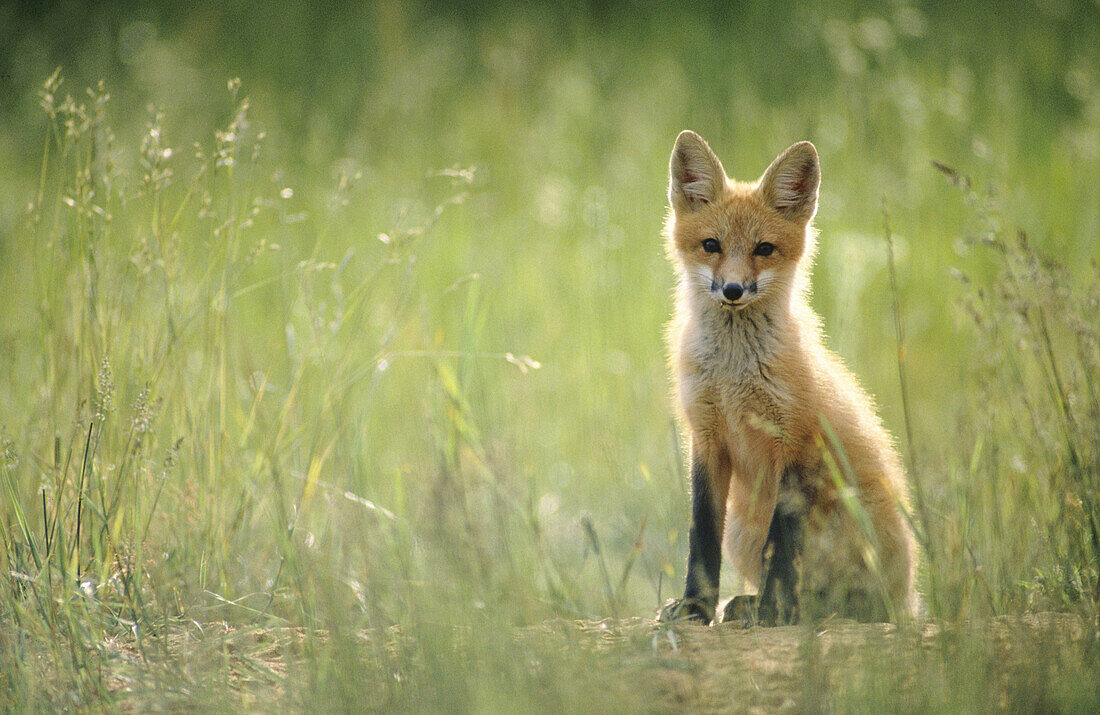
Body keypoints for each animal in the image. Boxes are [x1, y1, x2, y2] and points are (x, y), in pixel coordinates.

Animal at [660, 130, 919, 620]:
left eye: (764, 249)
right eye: (711, 245)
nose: (733, 290)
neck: (734, 378)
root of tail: (908, 598)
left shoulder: (795, 444)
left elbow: (781, 548)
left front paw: (773, 615)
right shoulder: (706, 439)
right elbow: (701, 538)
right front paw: (697, 608)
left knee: (844, 604)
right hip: (742, 526)